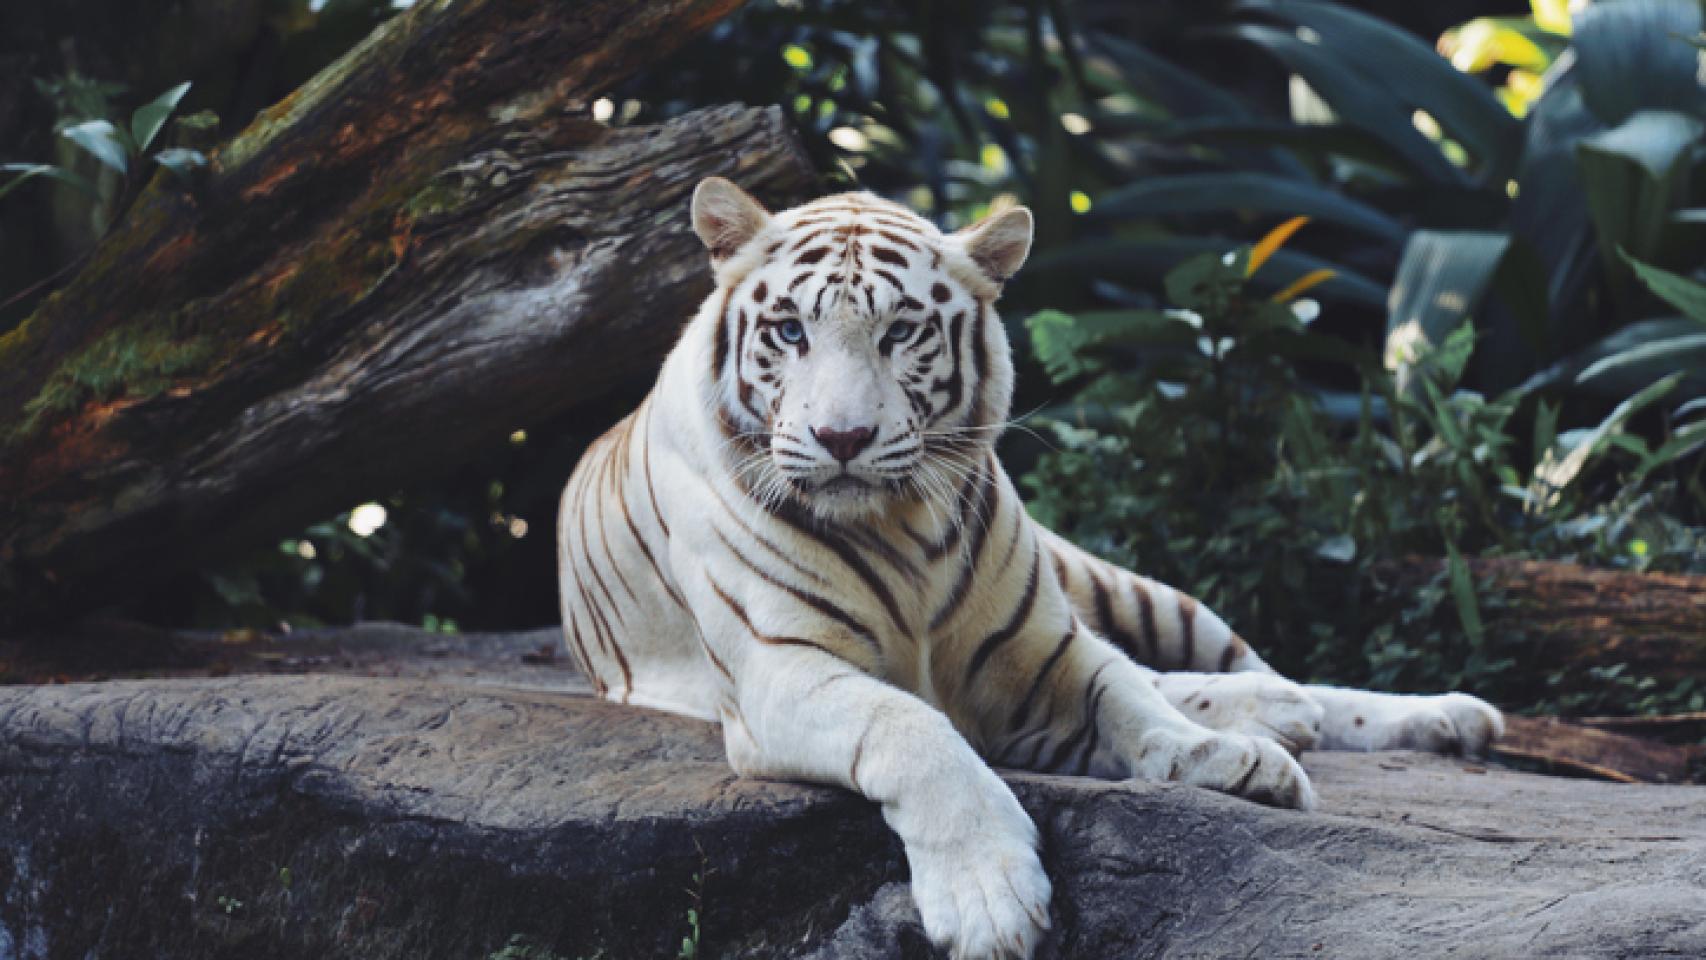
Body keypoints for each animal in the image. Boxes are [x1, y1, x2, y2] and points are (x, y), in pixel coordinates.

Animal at [556, 177, 1504, 960]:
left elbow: (1127, 700)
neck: (900, 528)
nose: (842, 439)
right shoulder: (778, 671)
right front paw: (989, 901)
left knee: (1242, 671)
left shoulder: (1043, 649)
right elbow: (911, 728)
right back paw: (1281, 717)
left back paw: (1419, 716)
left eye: (900, 333)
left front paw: (1214, 759)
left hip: (1134, 590)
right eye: (790, 332)